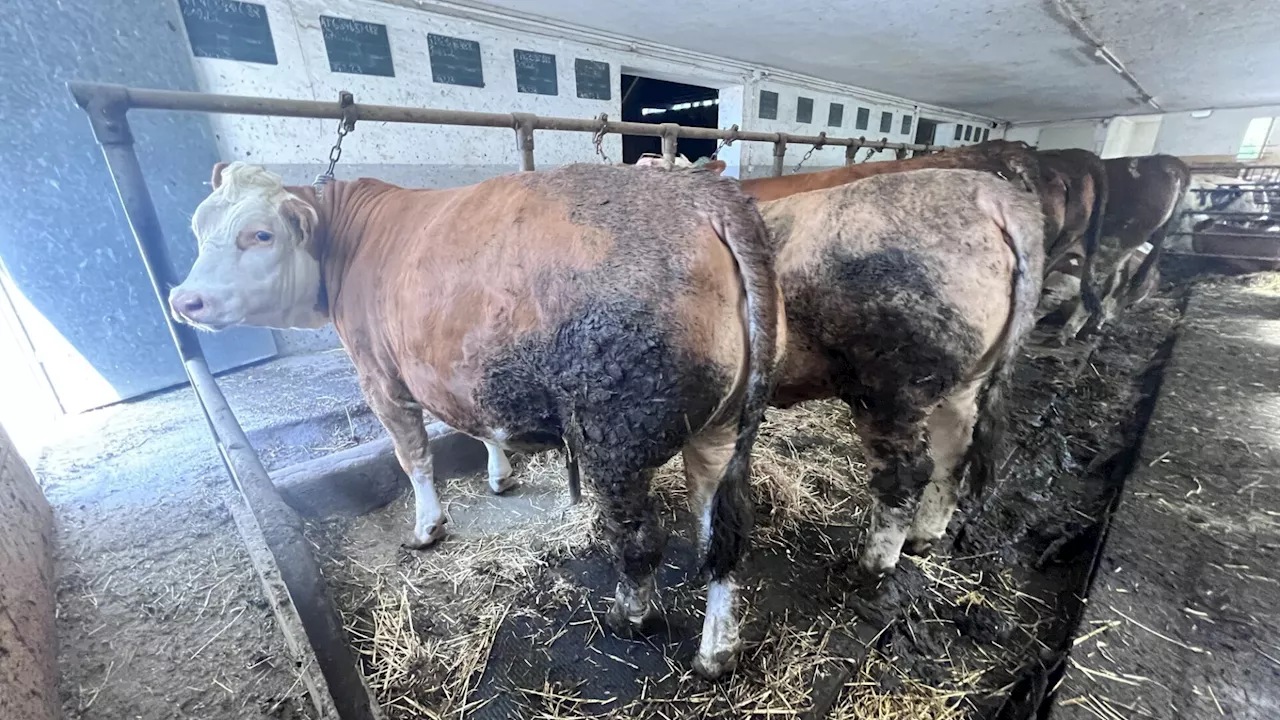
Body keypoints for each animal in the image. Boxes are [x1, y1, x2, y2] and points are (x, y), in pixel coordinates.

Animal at [167, 159, 778, 676]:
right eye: (198, 226)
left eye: (260, 234)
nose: (184, 300)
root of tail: (703, 197)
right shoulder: (460, 371)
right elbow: (478, 426)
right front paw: (499, 475)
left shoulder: (381, 378)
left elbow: (413, 457)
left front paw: (427, 527)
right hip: (724, 430)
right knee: (722, 535)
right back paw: (716, 652)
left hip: (615, 438)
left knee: (641, 539)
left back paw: (629, 617)